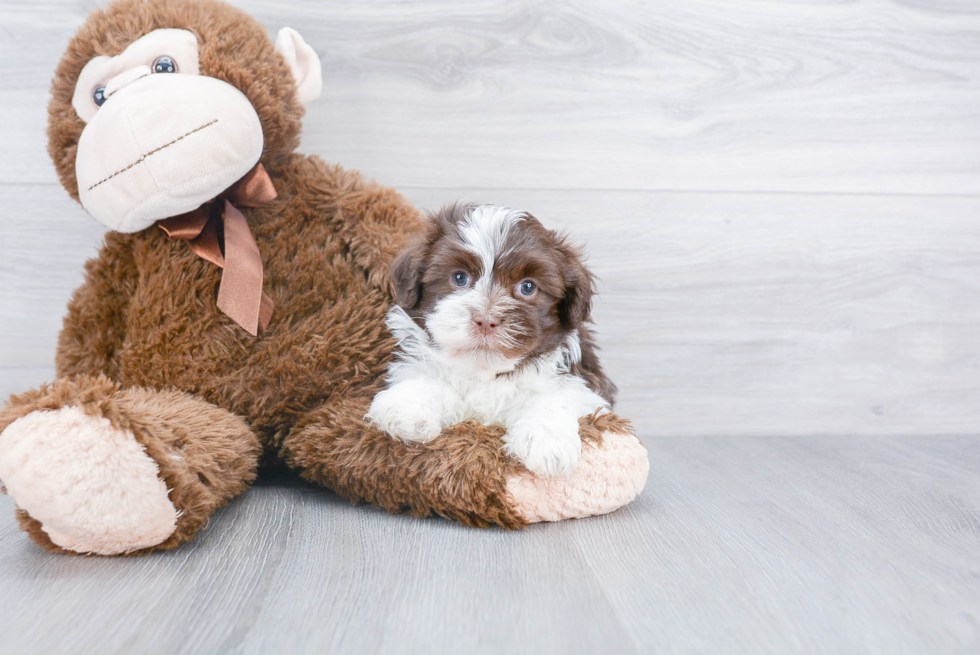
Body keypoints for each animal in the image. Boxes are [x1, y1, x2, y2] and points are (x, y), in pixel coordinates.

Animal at [364, 205, 616, 476]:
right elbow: (430, 379)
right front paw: (406, 408)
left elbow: (556, 396)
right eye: (460, 278)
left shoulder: (589, 384)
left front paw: (546, 442)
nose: (485, 320)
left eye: (528, 287)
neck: (485, 371)